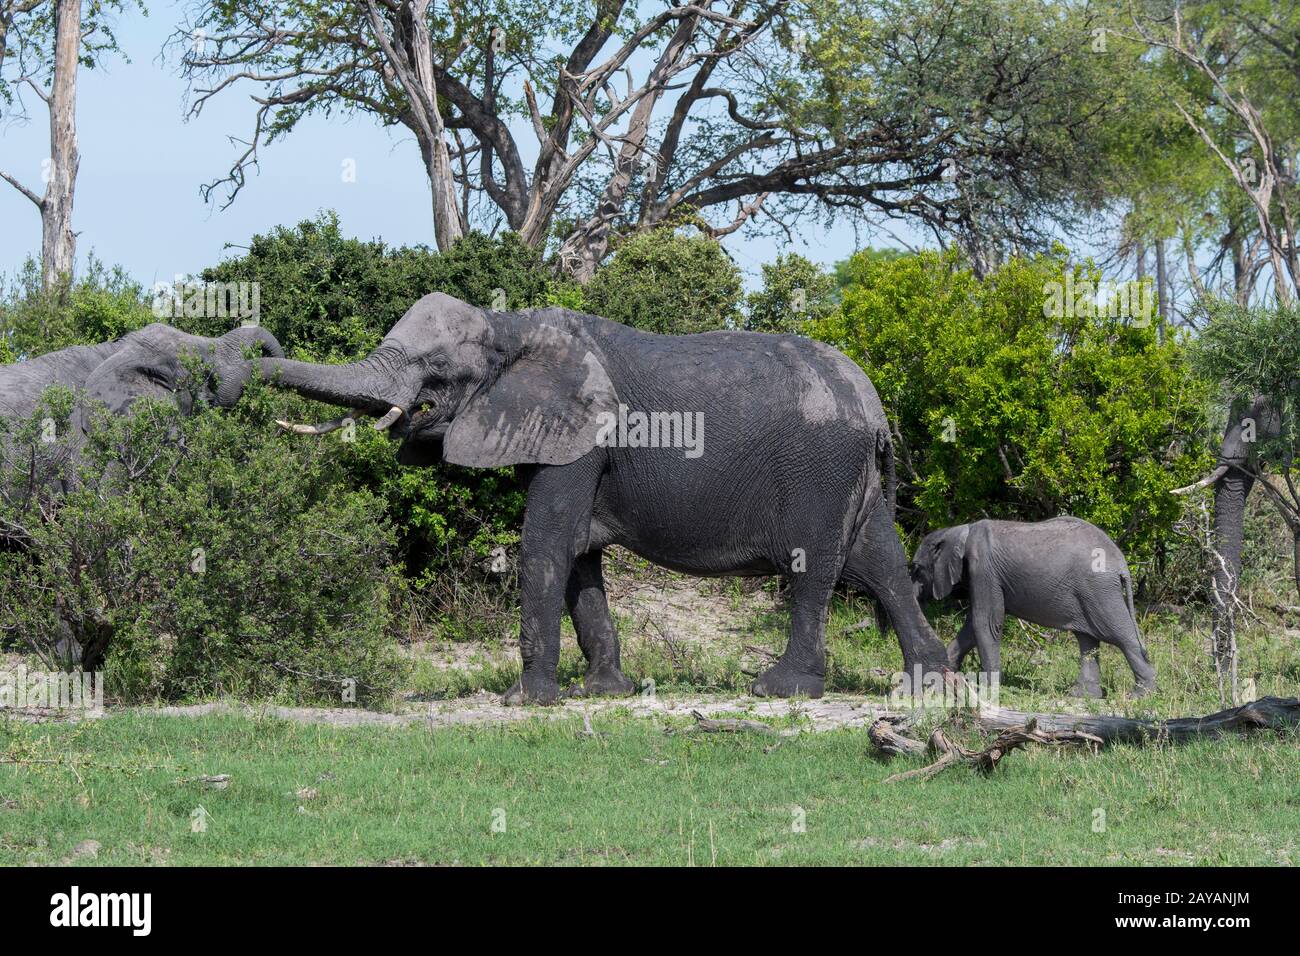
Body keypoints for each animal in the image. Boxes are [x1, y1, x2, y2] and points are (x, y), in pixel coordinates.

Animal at [265, 291, 951, 704]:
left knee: (817, 569)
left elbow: (546, 545)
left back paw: (780, 690)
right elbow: (578, 557)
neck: (508, 327)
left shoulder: (585, 436)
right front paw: (604, 692)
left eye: (436, 370)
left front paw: (526, 701)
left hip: (820, 469)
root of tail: (876, 410)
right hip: (853, 475)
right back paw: (930, 684)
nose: (260, 346)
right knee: (881, 563)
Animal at [910, 517, 1157, 698]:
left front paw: (986, 689)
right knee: (1088, 640)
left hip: (1099, 589)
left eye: (916, 569)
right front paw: (942, 677)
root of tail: (1121, 562)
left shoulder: (982, 569)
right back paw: (1082, 695)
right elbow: (972, 627)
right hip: (1088, 592)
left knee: (1121, 636)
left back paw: (1140, 695)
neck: (960, 530)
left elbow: (985, 623)